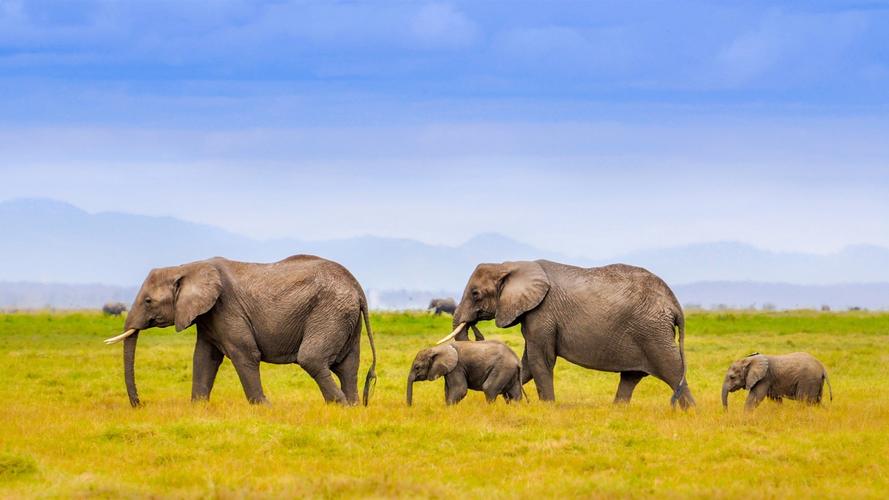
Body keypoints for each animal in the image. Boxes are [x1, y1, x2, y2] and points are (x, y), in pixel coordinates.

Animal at [105, 254, 378, 406]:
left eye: (148, 301)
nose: (139, 404)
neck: (187, 267)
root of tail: (357, 287)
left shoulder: (227, 308)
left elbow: (244, 354)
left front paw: (264, 407)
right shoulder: (209, 316)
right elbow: (204, 358)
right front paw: (198, 407)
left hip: (329, 311)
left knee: (312, 359)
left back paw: (339, 405)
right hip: (344, 318)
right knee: (347, 366)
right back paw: (352, 407)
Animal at [438, 260, 692, 408]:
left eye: (475, 294)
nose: (475, 331)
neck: (510, 265)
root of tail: (674, 303)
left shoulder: (542, 313)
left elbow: (540, 360)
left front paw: (547, 408)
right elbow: (527, 362)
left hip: (653, 333)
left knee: (672, 370)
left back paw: (691, 412)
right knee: (631, 377)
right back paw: (618, 410)